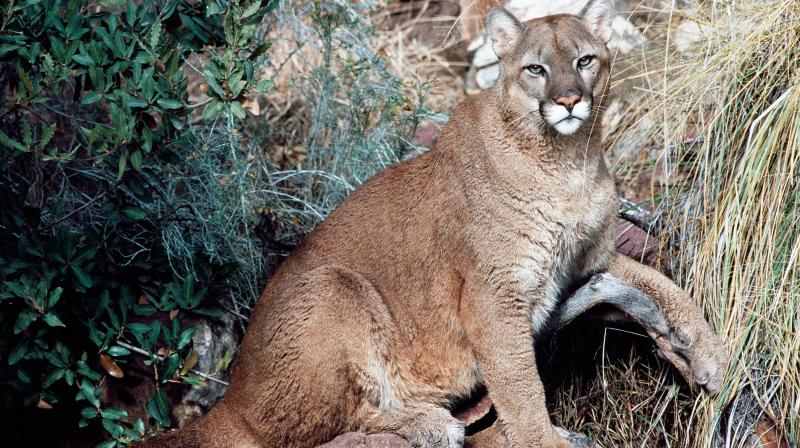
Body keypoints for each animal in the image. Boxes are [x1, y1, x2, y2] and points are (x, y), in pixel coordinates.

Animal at [141, 1, 728, 446]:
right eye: (535, 69)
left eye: (585, 60)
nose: (567, 101)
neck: (569, 164)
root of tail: (232, 396)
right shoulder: (493, 294)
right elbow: (521, 386)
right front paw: (544, 439)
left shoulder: (593, 258)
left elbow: (662, 283)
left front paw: (711, 354)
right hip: (334, 287)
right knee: (321, 424)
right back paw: (430, 423)